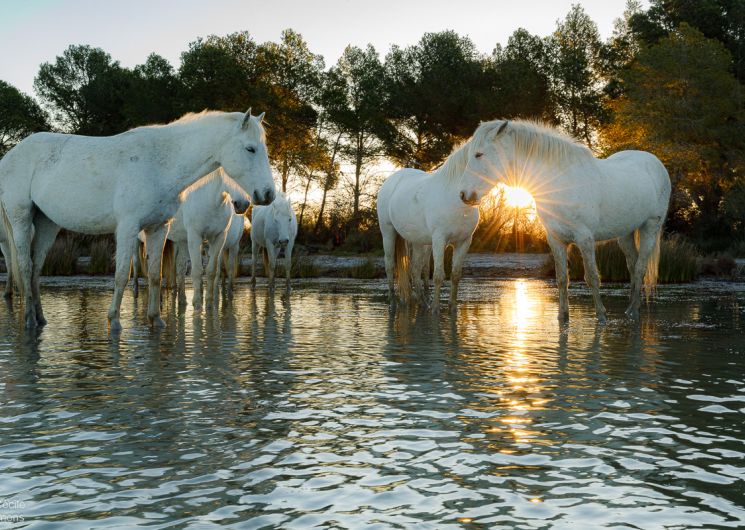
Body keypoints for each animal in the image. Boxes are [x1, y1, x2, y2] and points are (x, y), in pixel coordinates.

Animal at [0, 109, 274, 328]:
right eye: (250, 149)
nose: (268, 194)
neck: (160, 163)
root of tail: (10, 156)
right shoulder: (127, 228)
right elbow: (122, 273)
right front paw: (114, 320)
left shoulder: (158, 229)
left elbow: (154, 275)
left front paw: (156, 319)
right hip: (21, 219)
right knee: (24, 267)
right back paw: (28, 320)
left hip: (47, 224)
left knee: (36, 269)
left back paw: (40, 319)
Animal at [374, 141, 480, 314]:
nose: (470, 197)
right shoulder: (438, 240)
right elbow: (438, 275)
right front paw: (436, 310)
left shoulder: (464, 241)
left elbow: (455, 274)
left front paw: (452, 308)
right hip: (388, 232)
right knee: (390, 266)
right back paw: (393, 304)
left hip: (417, 241)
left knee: (415, 269)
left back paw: (422, 303)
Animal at [460, 117, 668, 320]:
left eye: (479, 154)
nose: (464, 195)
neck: (561, 184)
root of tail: (656, 163)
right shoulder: (556, 239)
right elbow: (561, 278)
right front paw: (563, 317)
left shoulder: (585, 238)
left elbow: (592, 277)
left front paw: (601, 316)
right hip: (625, 233)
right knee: (632, 266)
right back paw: (631, 309)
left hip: (650, 227)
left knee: (640, 268)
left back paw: (633, 312)